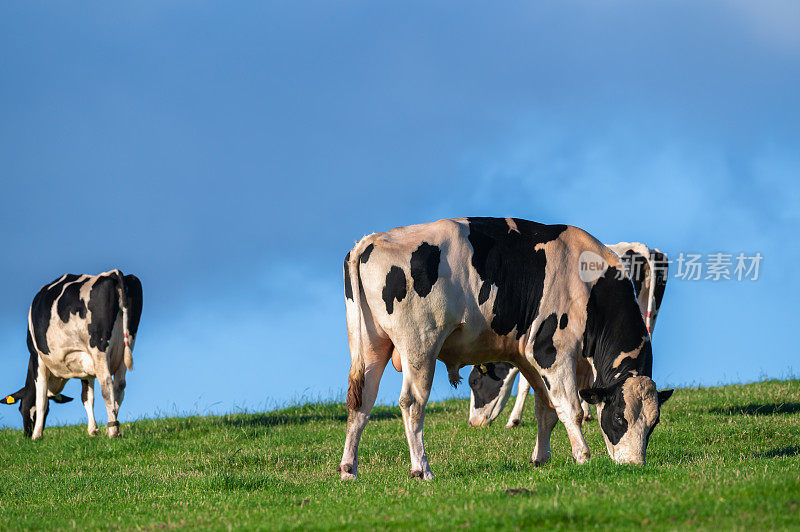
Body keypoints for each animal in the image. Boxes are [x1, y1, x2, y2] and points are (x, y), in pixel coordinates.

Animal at [1, 270, 143, 440]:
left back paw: (113, 431)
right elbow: (87, 397)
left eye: (21, 408)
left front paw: (37, 435)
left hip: (99, 349)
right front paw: (93, 430)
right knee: (119, 386)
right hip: (126, 347)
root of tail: (112, 273)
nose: (26, 435)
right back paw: (112, 427)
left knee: (107, 385)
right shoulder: (85, 363)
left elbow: (41, 398)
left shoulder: (37, 358)